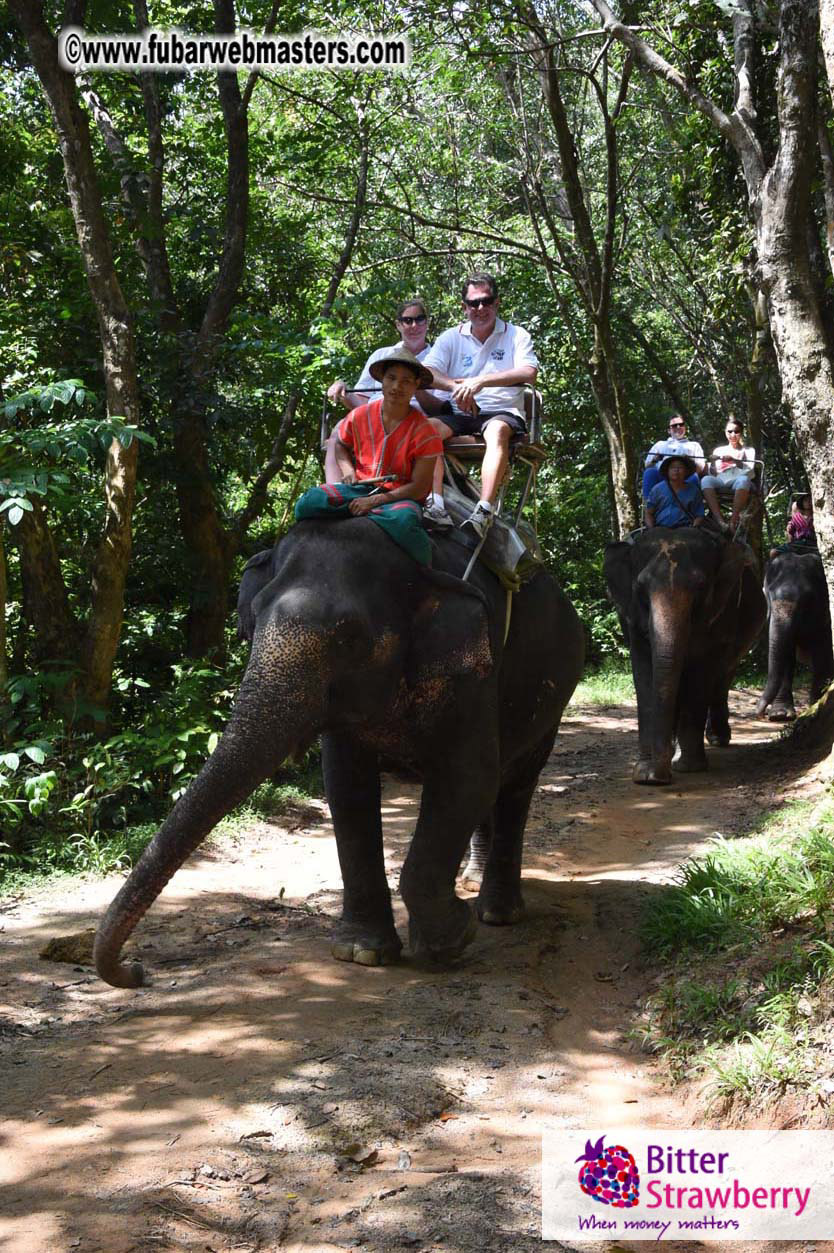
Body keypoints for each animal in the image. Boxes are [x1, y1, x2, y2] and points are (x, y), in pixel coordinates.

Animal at [94, 517, 584, 988]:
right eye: (253, 621)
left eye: (350, 638)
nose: (137, 971)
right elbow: (346, 789)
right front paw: (363, 952)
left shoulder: (475, 671)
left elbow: (467, 779)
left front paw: (454, 937)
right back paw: (471, 882)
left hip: (553, 701)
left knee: (515, 785)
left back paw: (498, 913)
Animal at [604, 527, 766, 784]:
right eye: (640, 590)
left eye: (701, 587)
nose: (658, 778)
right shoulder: (632, 619)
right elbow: (644, 672)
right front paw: (644, 773)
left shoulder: (721, 613)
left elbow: (700, 673)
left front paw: (688, 768)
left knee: (722, 678)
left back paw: (716, 739)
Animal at [756, 547, 833, 721]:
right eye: (768, 595)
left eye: (808, 599)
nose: (759, 713)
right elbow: (786, 654)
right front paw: (779, 715)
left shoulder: (823, 613)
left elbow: (821, 654)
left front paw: (815, 708)